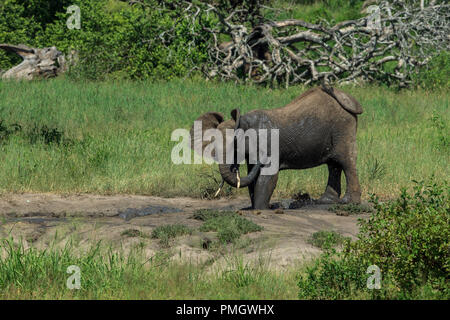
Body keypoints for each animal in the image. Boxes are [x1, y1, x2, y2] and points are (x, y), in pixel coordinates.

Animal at [192, 85, 364, 210]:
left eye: (234, 144)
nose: (234, 167)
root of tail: (347, 98)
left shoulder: (268, 145)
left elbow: (267, 177)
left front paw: (259, 210)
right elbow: (253, 177)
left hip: (344, 127)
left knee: (346, 161)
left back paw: (348, 202)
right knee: (333, 164)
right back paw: (325, 201)